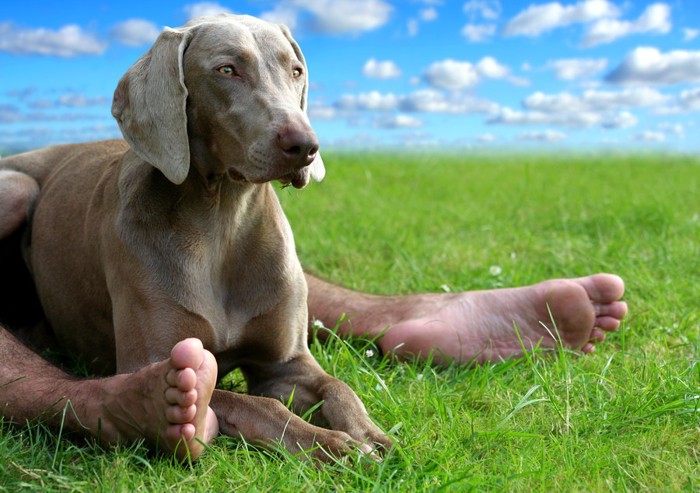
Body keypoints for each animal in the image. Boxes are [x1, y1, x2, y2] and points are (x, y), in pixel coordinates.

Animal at [0, 14, 392, 462]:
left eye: (296, 71)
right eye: (227, 70)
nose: (306, 146)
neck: (222, 223)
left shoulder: (286, 364)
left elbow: (336, 386)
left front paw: (371, 435)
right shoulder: (154, 361)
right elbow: (256, 404)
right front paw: (331, 445)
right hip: (17, 187)